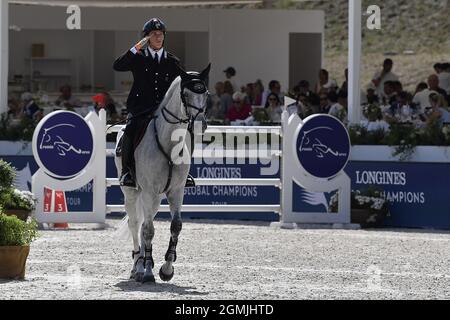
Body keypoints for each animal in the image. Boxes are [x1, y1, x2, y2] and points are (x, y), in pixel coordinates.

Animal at [113, 63, 210, 284]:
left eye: (206, 93)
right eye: (185, 94)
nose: (199, 124)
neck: (169, 143)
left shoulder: (176, 191)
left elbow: (176, 226)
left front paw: (166, 268)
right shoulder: (149, 191)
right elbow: (149, 230)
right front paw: (149, 271)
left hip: (155, 199)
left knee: (142, 224)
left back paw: (140, 265)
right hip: (133, 193)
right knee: (135, 224)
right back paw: (138, 267)